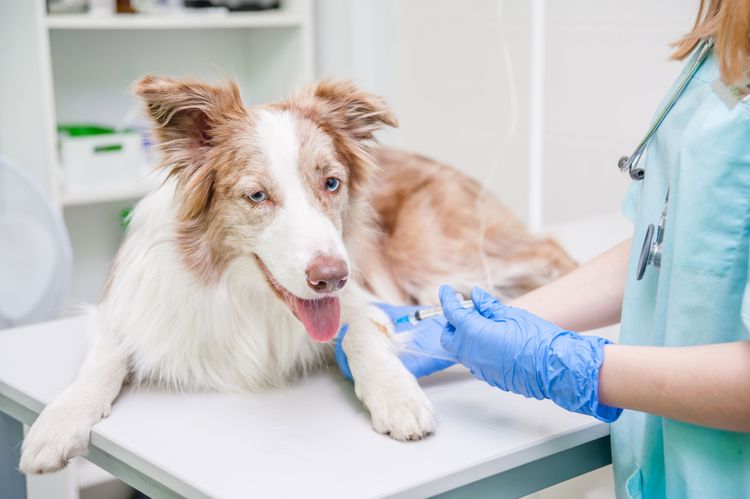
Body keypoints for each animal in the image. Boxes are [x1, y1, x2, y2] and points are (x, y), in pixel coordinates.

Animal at [19, 76, 576, 474]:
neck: (246, 296)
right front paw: (57, 425)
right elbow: (101, 361)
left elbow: (361, 333)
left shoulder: (365, 294)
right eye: (257, 195)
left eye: (331, 183)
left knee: (549, 249)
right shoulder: (123, 311)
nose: (331, 277)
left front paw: (397, 396)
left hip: (432, 253)